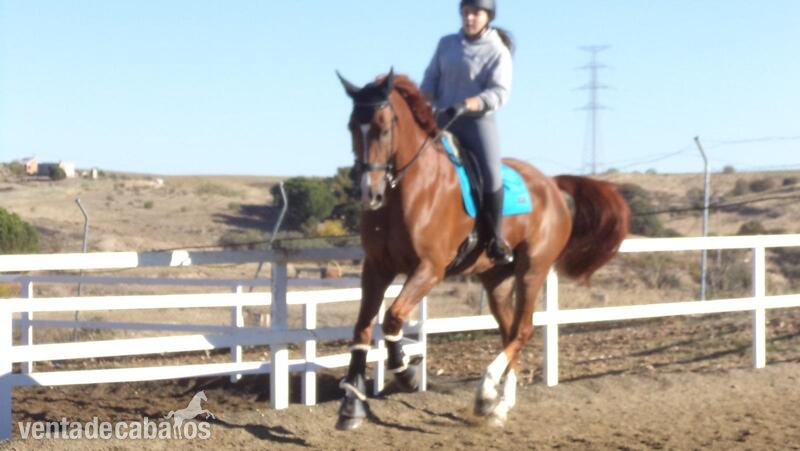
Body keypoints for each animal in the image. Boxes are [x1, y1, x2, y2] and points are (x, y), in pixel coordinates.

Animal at [334, 69, 630, 430]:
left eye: (384, 128)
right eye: (351, 126)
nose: (370, 194)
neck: (408, 191)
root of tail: (551, 184)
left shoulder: (429, 269)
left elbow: (392, 318)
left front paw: (407, 373)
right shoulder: (376, 267)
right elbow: (362, 328)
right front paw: (351, 404)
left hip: (532, 270)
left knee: (523, 330)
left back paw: (486, 391)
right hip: (496, 281)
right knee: (510, 331)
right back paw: (499, 405)